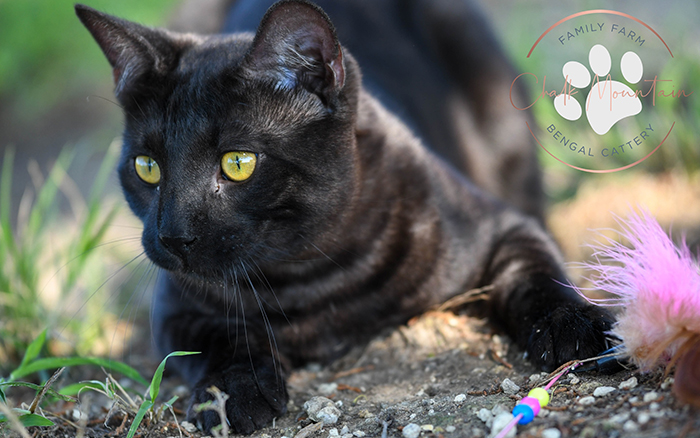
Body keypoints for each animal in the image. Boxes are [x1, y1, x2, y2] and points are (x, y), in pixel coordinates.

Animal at [76, 0, 612, 432]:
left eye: (238, 163)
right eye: (147, 168)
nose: (172, 235)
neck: (307, 280)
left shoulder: (501, 227)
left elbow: (535, 275)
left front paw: (576, 326)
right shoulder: (174, 311)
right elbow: (220, 338)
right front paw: (235, 393)